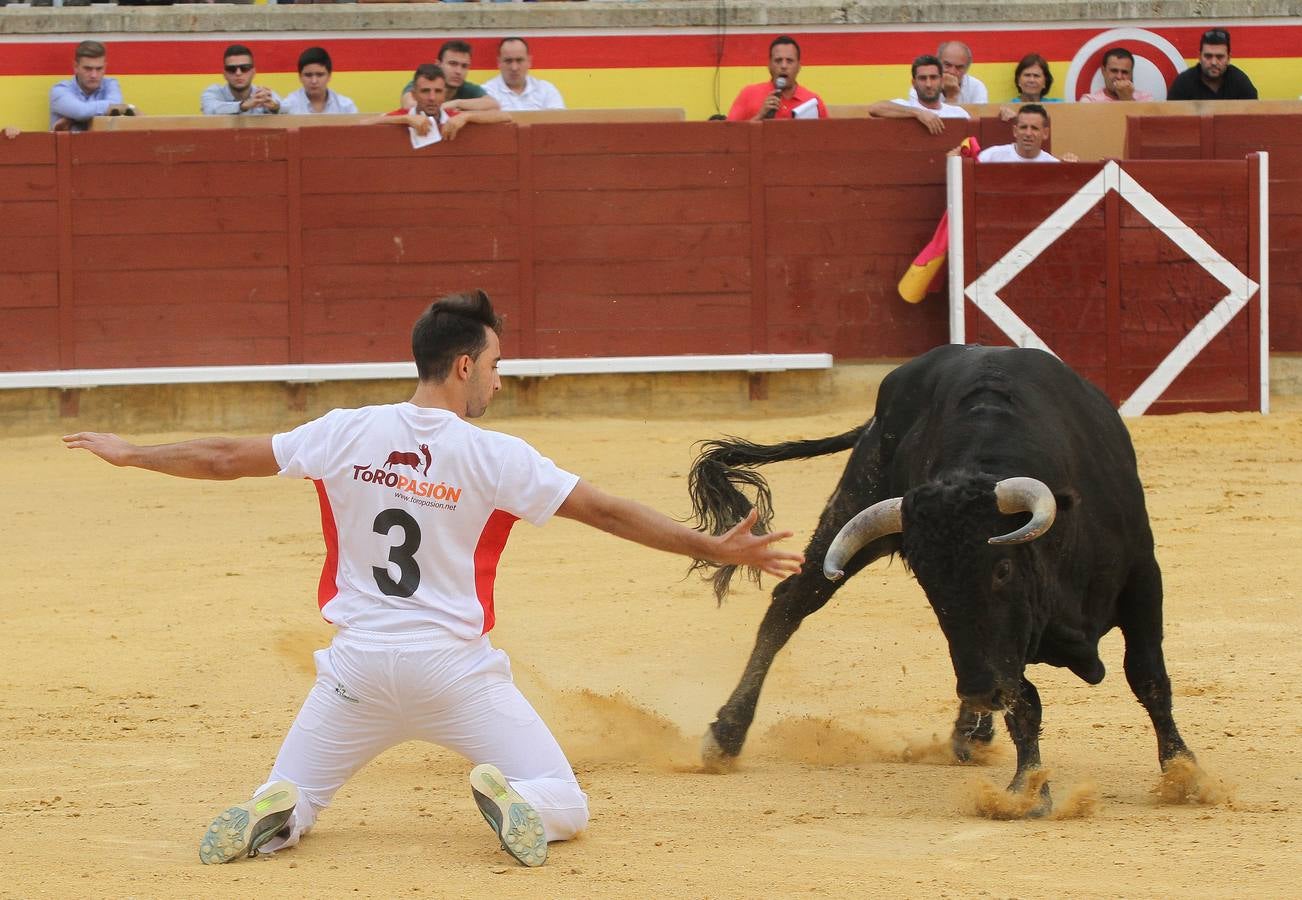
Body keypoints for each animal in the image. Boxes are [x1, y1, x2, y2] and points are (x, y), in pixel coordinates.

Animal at [687, 343, 1192, 817]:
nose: (977, 690)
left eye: (1002, 568)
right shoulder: (1004, 640)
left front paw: (1183, 774)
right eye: (929, 582)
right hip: (855, 503)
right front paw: (1027, 791)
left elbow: (1147, 675)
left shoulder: (1143, 578)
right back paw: (727, 734)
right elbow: (1024, 700)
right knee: (790, 603)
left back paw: (973, 731)